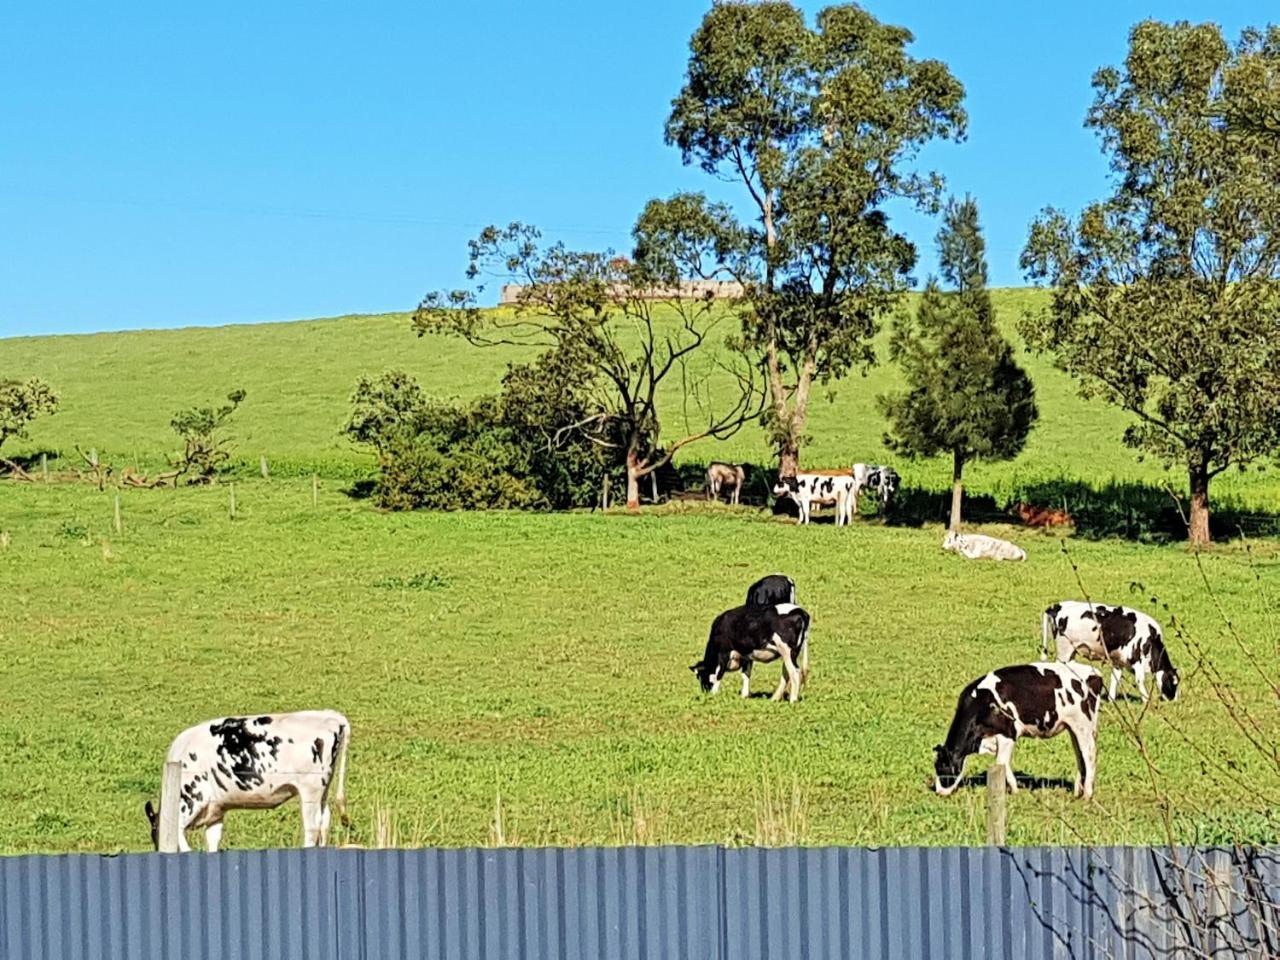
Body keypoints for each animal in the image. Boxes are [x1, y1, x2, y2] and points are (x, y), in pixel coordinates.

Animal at [145, 711, 350, 855]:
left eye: (154, 833)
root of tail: (331, 715)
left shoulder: (192, 797)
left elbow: (179, 832)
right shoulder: (216, 810)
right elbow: (213, 840)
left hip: (310, 789)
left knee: (312, 826)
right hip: (322, 789)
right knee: (324, 821)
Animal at [931, 665, 1100, 798]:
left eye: (941, 766)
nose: (939, 792)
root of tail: (1094, 672)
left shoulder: (1008, 733)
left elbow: (1001, 762)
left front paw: (1014, 790)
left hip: (1083, 725)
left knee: (1089, 754)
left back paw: (1087, 794)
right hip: (1073, 728)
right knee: (1079, 755)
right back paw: (1077, 792)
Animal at [1039, 604, 1177, 701]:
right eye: (1174, 682)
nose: (1174, 701)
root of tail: (1057, 606)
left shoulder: (1118, 660)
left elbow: (1116, 677)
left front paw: (1111, 699)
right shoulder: (1136, 659)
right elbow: (1140, 680)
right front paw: (1146, 700)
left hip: (1071, 652)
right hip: (1064, 650)